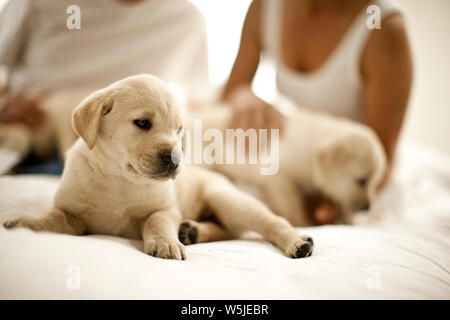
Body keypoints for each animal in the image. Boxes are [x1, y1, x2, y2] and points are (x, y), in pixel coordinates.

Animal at [3, 75, 312, 260]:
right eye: (142, 123)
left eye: (178, 130)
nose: (175, 159)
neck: (119, 178)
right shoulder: (72, 213)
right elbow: (52, 219)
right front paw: (25, 224)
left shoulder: (166, 209)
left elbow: (156, 221)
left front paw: (166, 243)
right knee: (230, 230)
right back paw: (193, 232)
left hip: (229, 200)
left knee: (270, 223)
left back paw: (298, 242)